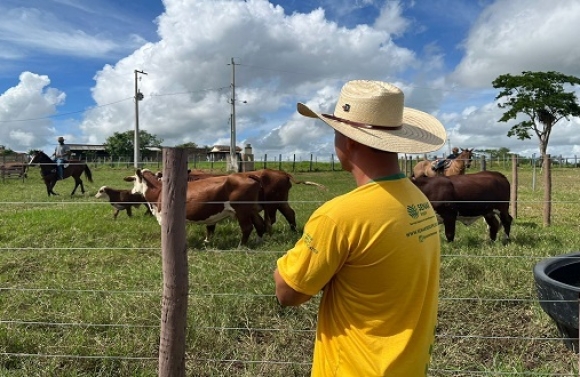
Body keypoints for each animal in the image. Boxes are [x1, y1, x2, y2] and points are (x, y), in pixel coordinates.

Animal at [125, 168, 266, 247]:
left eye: (134, 180)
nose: (132, 191)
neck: (159, 191)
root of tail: (247, 175)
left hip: (242, 210)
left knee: (247, 228)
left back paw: (240, 246)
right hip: (251, 210)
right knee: (260, 224)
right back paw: (259, 242)